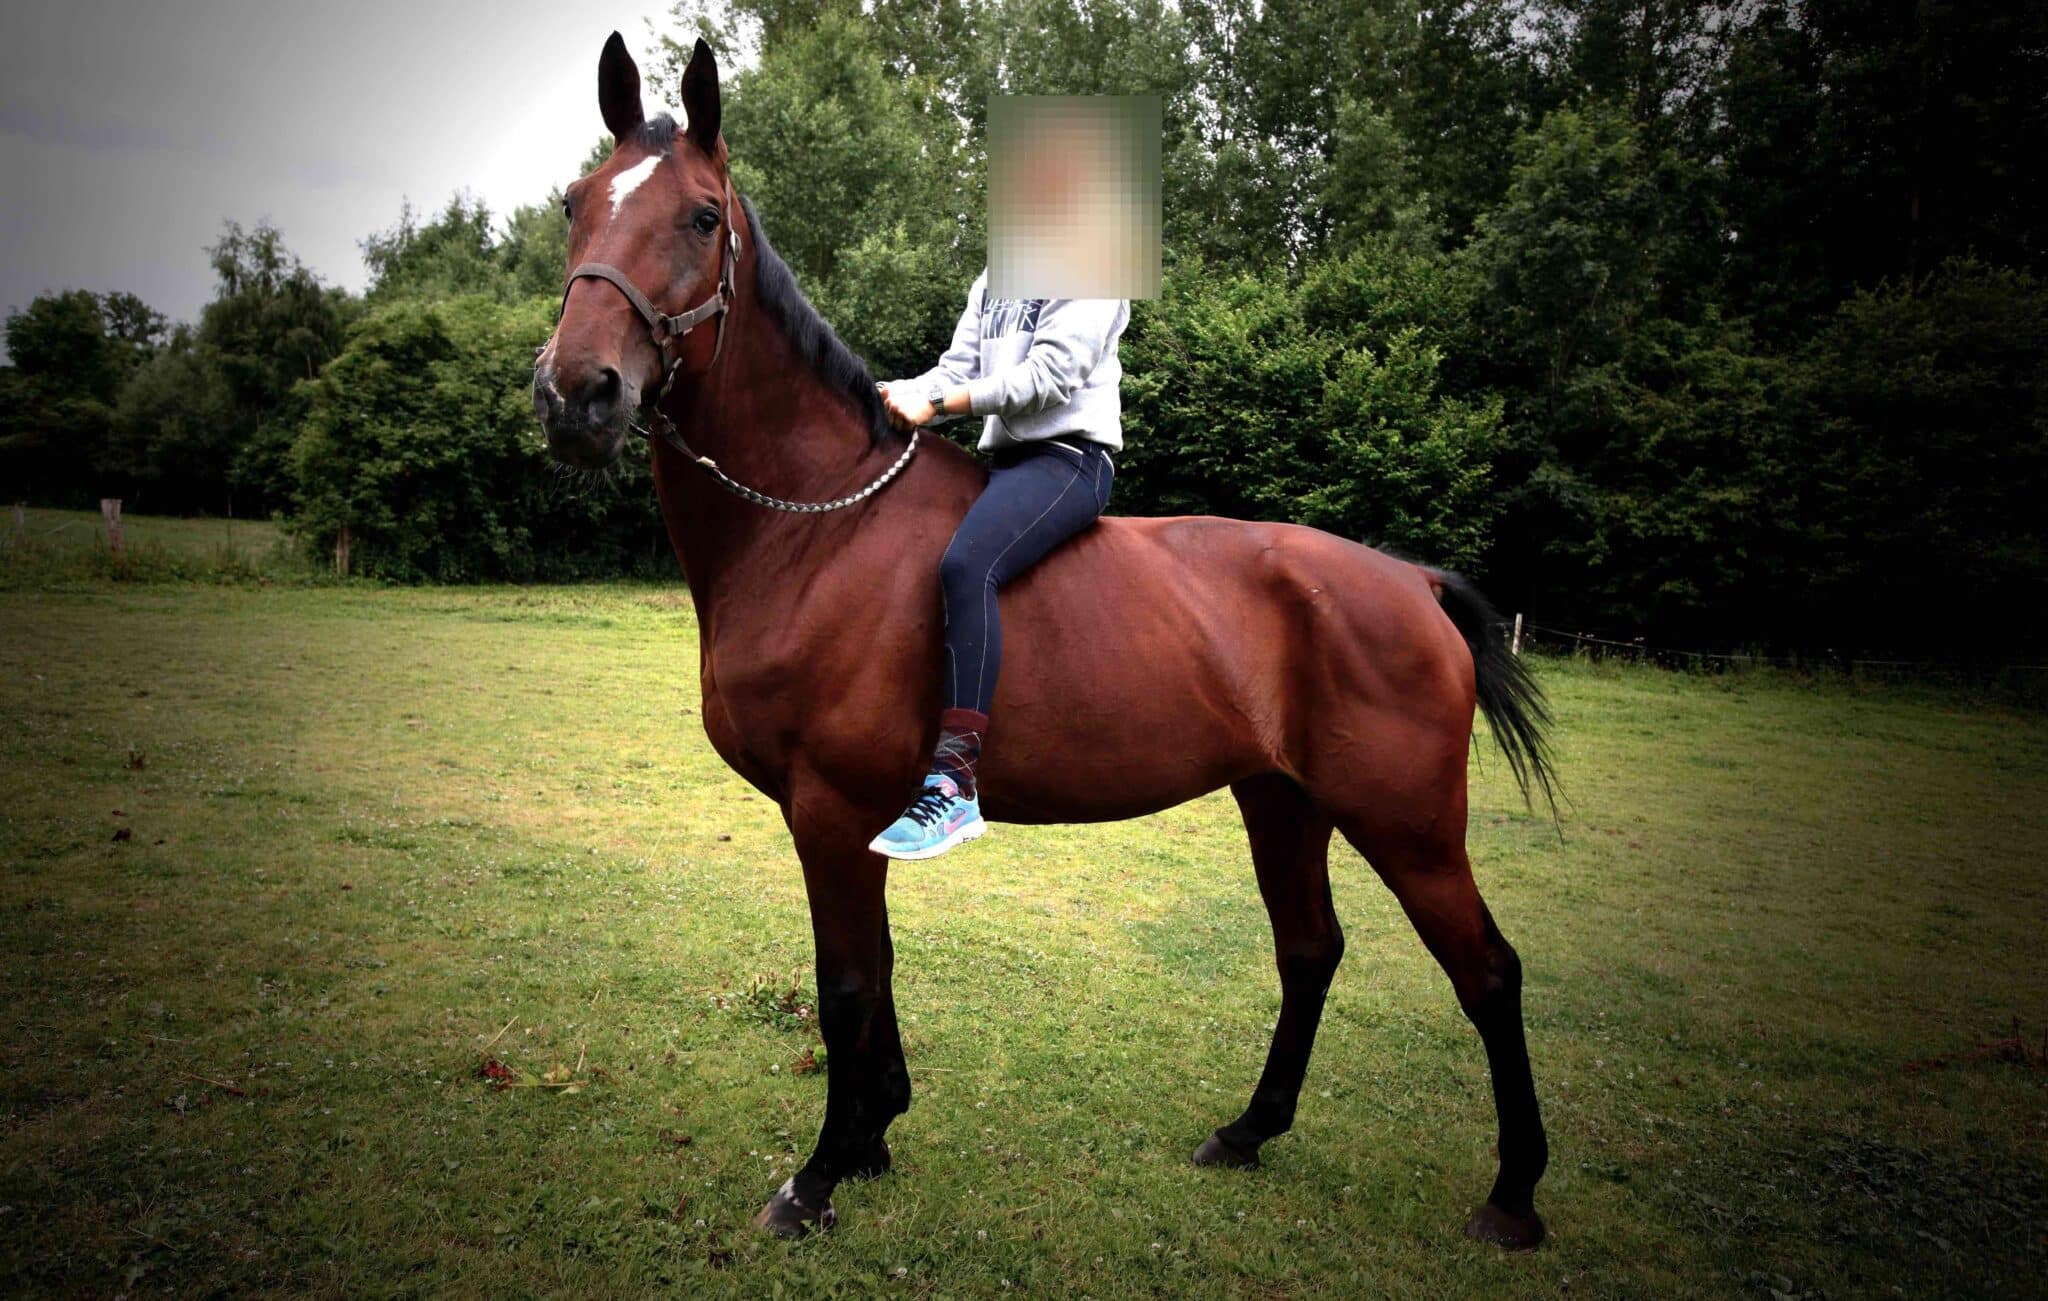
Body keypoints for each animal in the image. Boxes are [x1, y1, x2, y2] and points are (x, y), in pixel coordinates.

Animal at [532, 33, 1557, 1250]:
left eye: (698, 216)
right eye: (575, 205)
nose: (576, 394)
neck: (817, 526)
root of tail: (1410, 581)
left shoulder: (829, 808)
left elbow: (844, 982)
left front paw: (821, 1171)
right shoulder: (846, 818)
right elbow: (877, 974)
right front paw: (874, 1134)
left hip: (1406, 824)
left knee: (1487, 971)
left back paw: (1513, 1192)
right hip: (1283, 798)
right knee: (1309, 948)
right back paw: (1248, 1130)